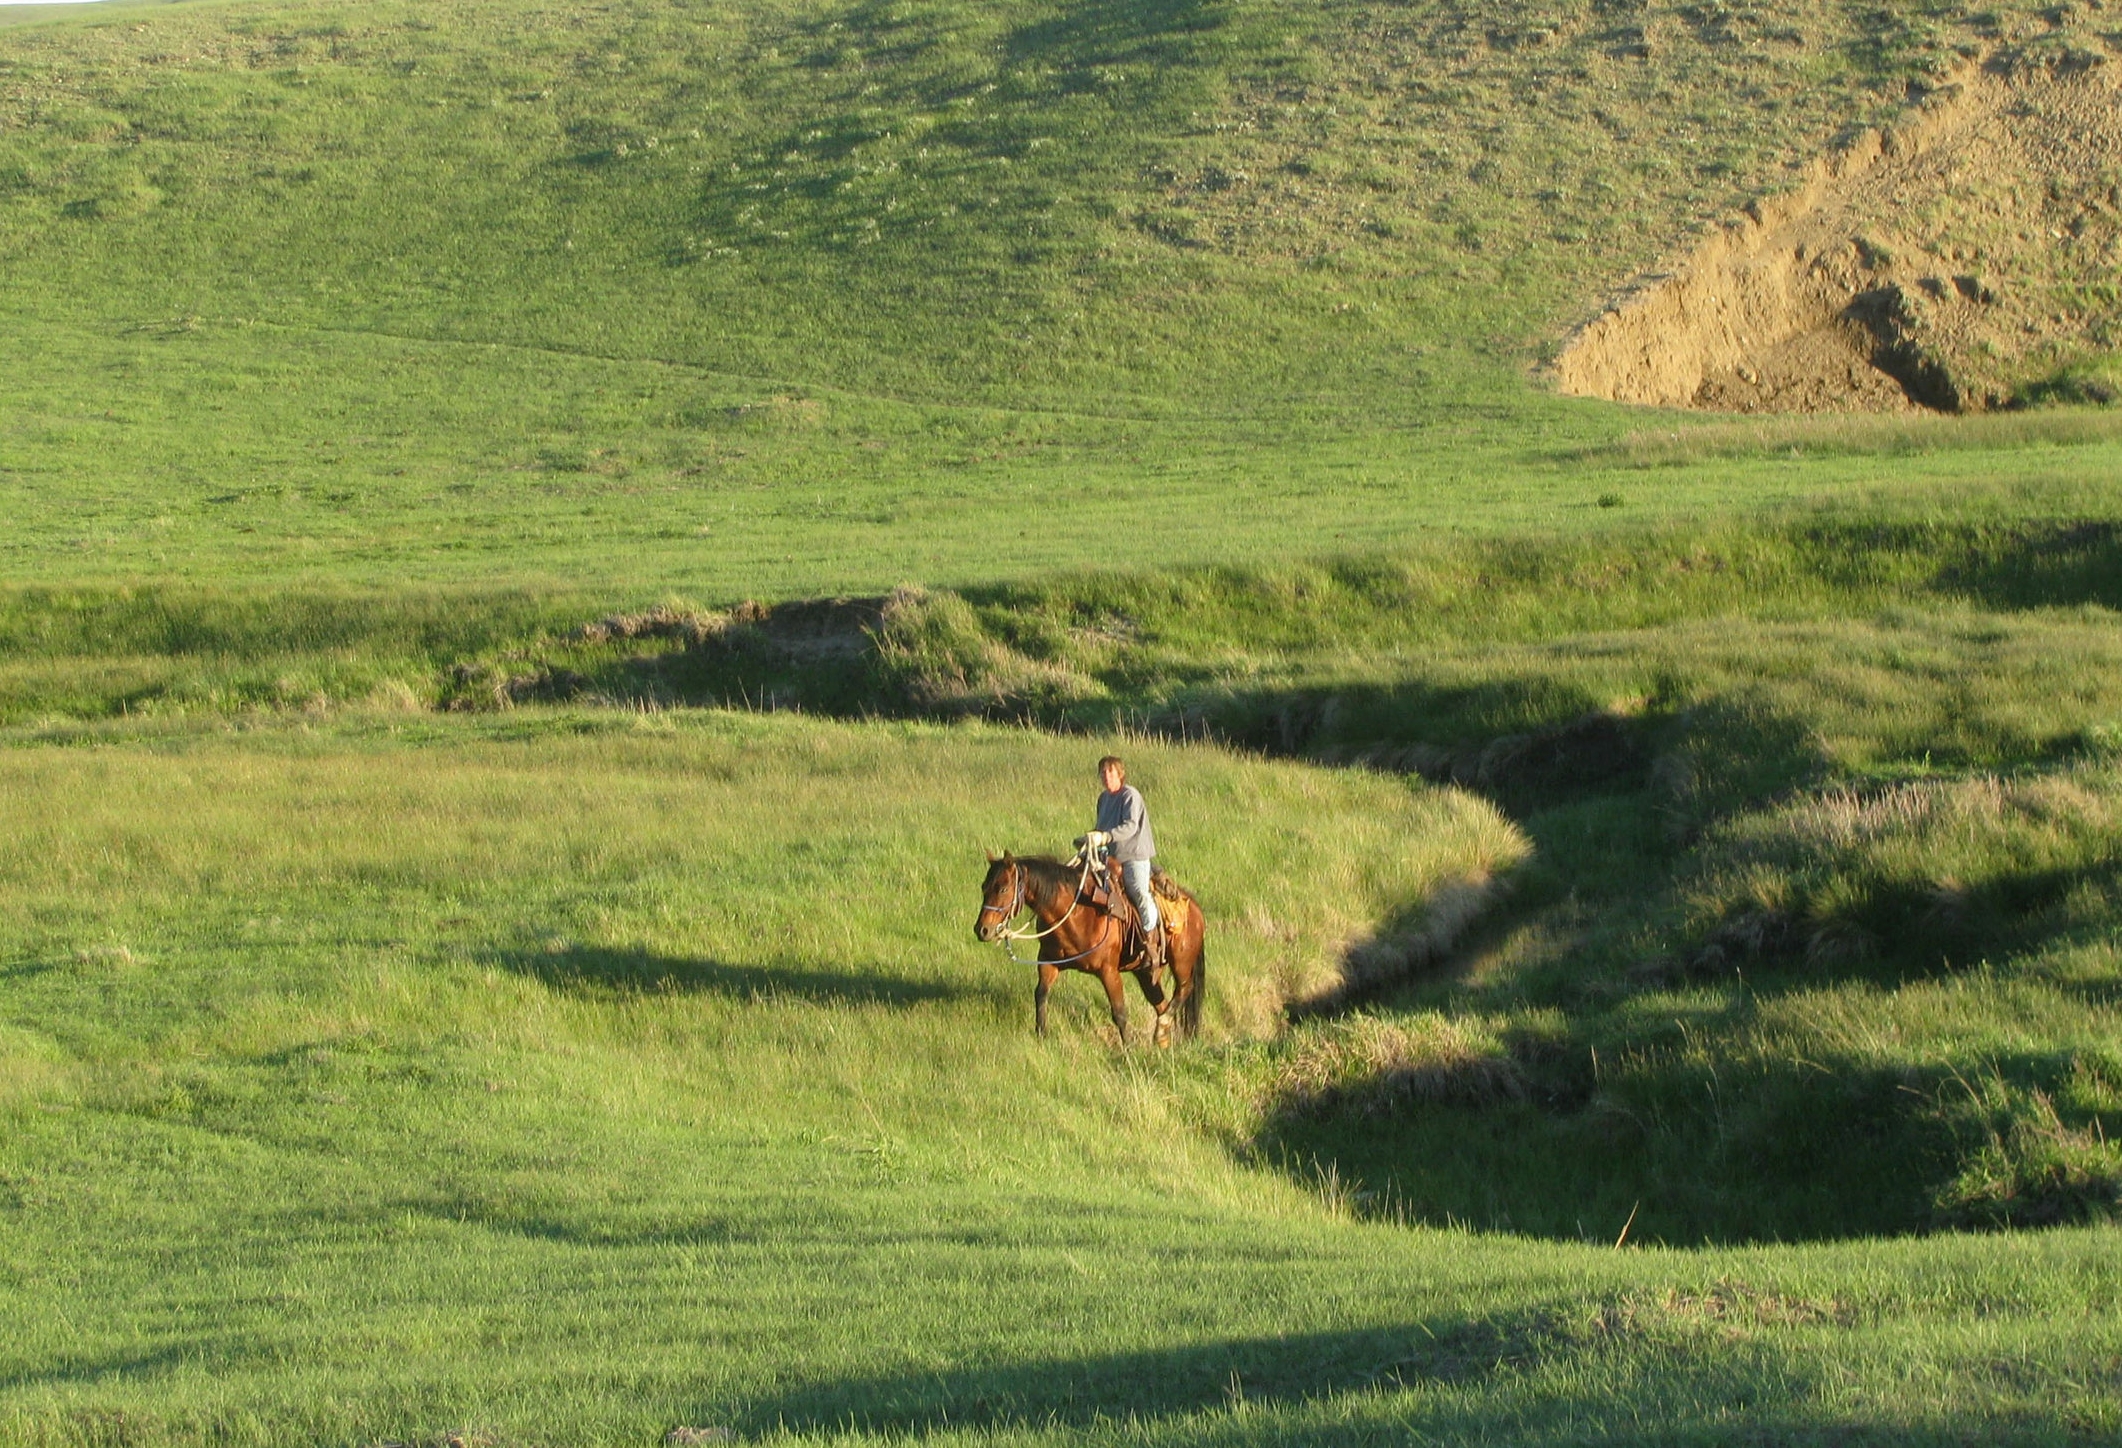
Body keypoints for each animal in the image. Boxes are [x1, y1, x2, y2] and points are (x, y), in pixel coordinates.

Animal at [971, 853, 1205, 1044]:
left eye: (1003, 888)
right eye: (983, 887)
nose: (982, 930)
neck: (1077, 913)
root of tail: (1194, 908)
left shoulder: (1108, 971)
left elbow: (1119, 1012)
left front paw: (1129, 1048)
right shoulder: (1048, 962)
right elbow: (1041, 994)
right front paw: (1042, 1033)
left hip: (1181, 963)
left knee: (1184, 989)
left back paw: (1163, 1026)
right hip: (1146, 974)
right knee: (1161, 1004)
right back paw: (1162, 1038)